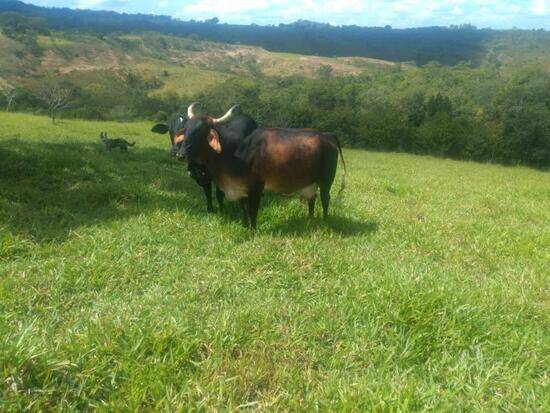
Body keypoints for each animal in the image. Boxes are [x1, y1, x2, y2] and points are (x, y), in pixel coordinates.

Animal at [179, 102, 348, 227]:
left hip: (326, 180)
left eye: (201, 132)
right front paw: (245, 226)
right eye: (186, 130)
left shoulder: (256, 187)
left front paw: (253, 230)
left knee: (325, 199)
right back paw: (310, 219)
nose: (180, 154)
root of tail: (326, 135)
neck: (235, 150)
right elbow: (244, 208)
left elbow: (253, 210)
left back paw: (325, 222)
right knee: (312, 198)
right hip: (311, 181)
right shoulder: (241, 187)